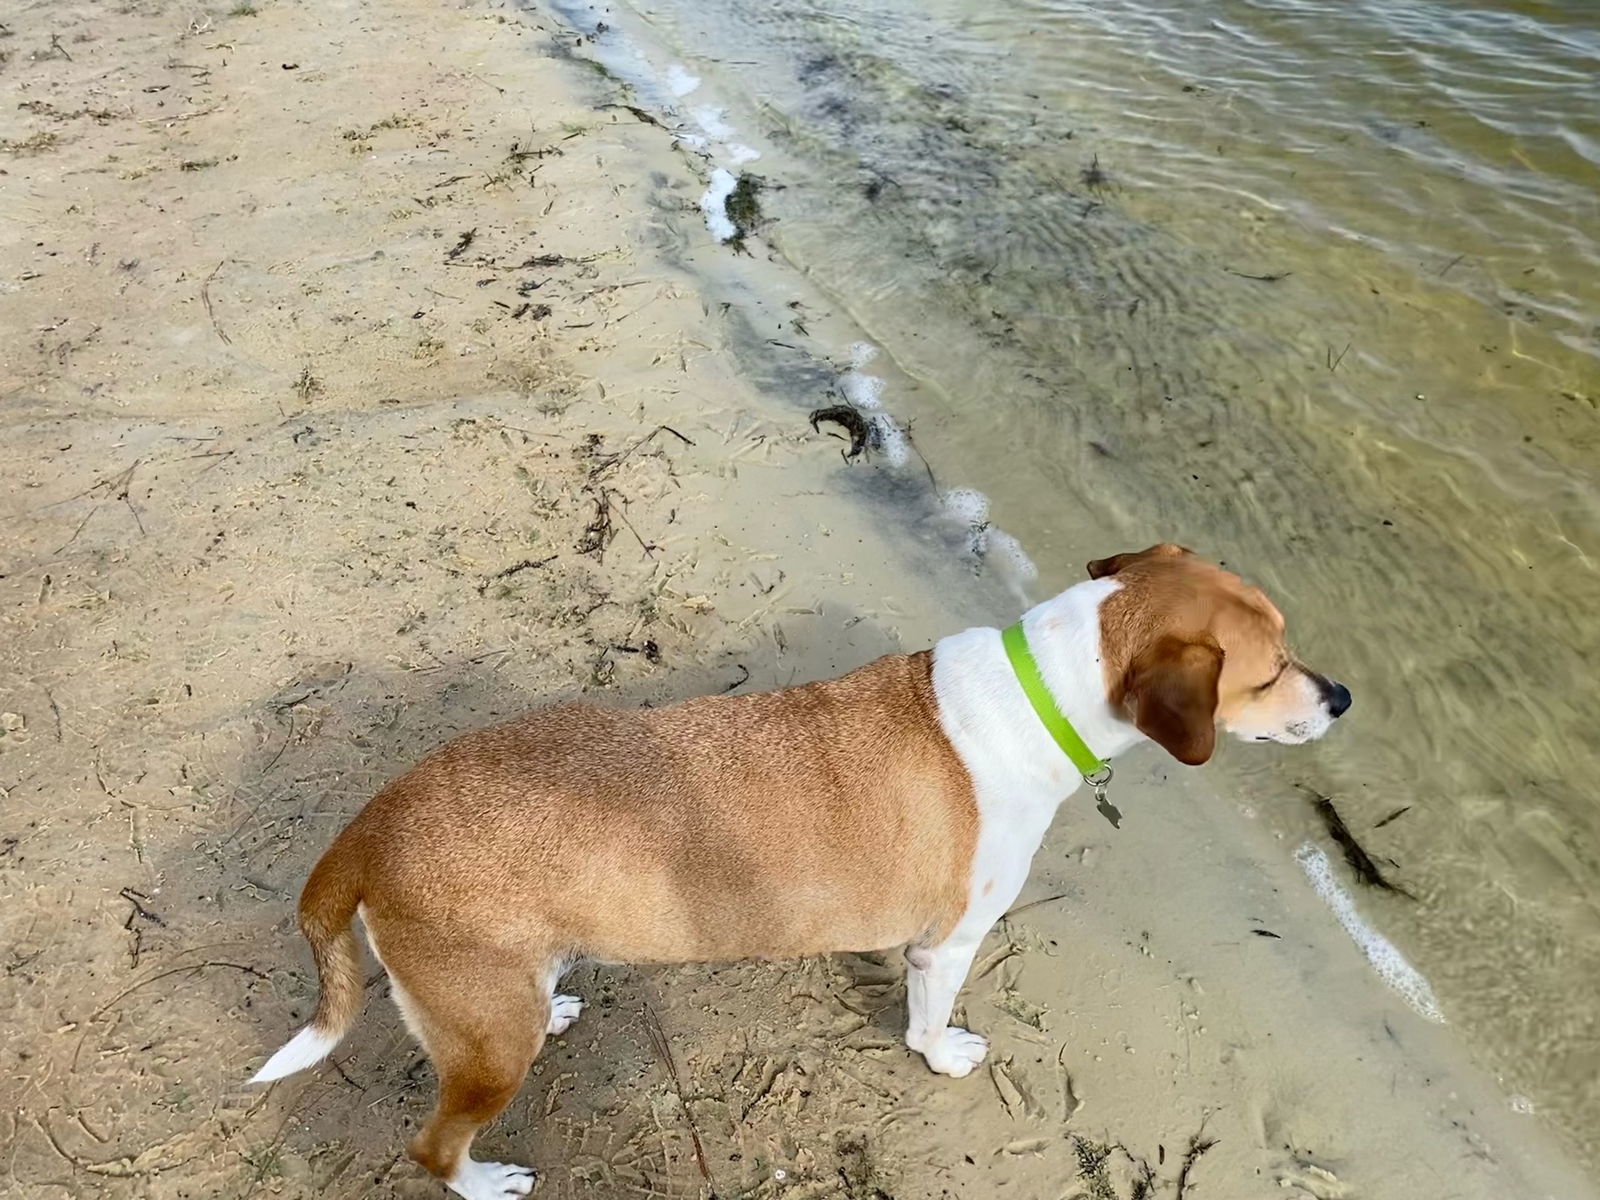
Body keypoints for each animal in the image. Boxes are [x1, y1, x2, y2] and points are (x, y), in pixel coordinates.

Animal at [249, 547, 1350, 1200]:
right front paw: (941, 1054)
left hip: (501, 995)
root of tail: (370, 827)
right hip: (485, 1051)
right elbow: (928, 1024)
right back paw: (485, 1181)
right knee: (435, 1150)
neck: (1040, 693)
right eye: (1268, 672)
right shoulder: (946, 945)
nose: (1341, 696)